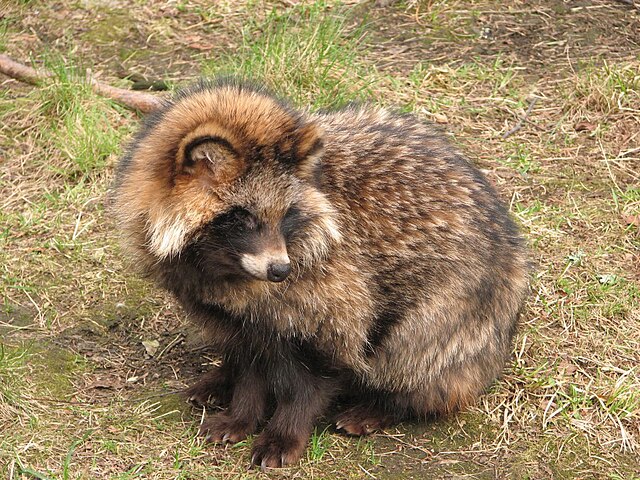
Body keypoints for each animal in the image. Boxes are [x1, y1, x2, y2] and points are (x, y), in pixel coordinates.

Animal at [111, 79, 528, 468]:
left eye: (286, 214)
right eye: (242, 217)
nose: (281, 269)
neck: (220, 264)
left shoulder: (337, 292)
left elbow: (317, 373)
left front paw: (285, 430)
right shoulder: (235, 310)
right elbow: (249, 362)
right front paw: (242, 411)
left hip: (451, 312)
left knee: (411, 354)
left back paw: (387, 404)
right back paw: (222, 377)